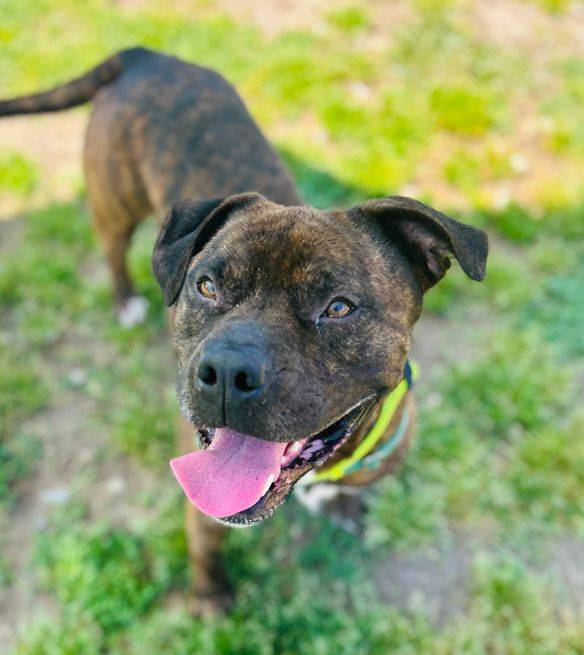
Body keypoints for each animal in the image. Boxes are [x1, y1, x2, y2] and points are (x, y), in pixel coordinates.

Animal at [1, 47, 488, 616]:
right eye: (206, 286)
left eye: (338, 307)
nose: (228, 371)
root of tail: (147, 55)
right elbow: (204, 544)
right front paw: (211, 595)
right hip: (113, 204)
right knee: (113, 250)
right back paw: (125, 301)